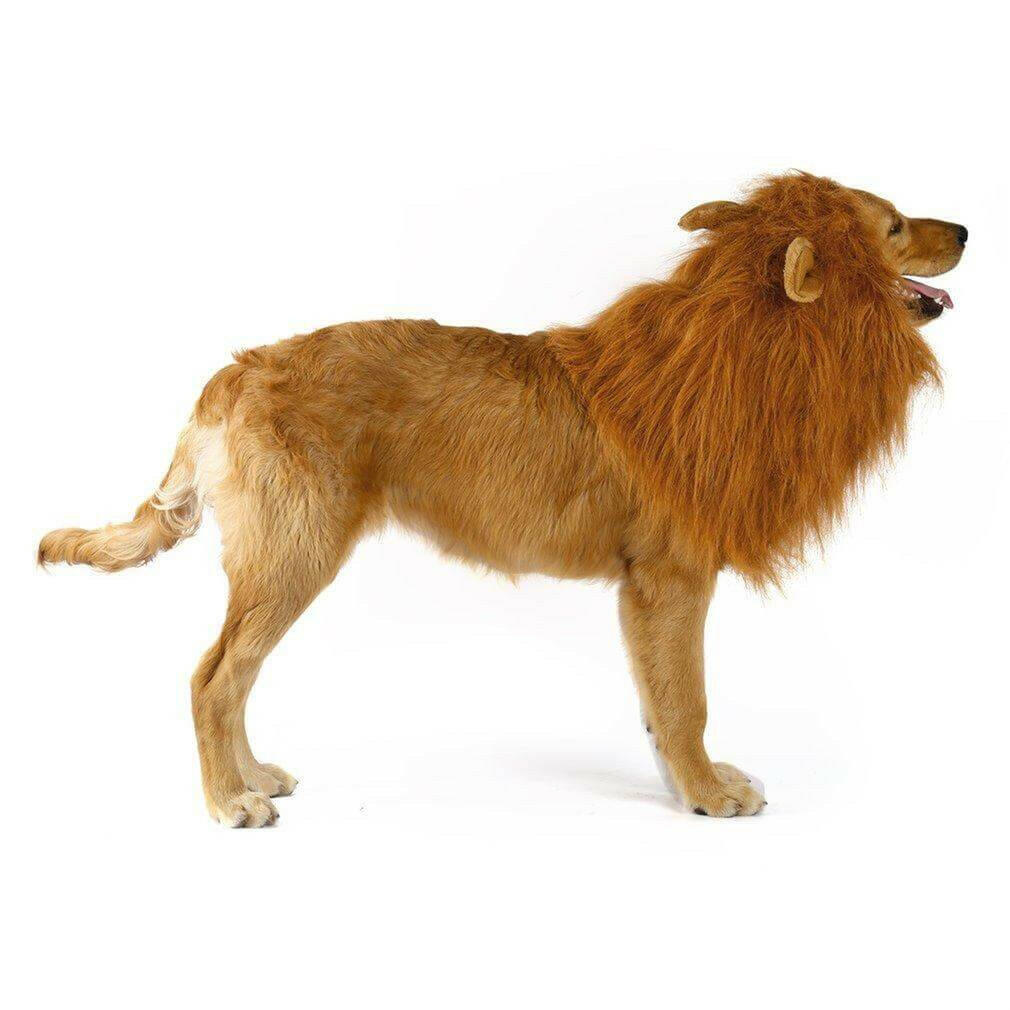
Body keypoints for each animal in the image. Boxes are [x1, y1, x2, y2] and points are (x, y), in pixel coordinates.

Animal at [38, 172, 966, 825]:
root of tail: (236, 371)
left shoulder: (647, 590)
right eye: (892, 226)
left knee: (235, 674)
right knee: (212, 677)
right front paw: (708, 794)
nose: (964, 228)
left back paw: (255, 775)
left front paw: (685, 785)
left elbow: (658, 703)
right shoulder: (672, 579)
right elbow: (688, 700)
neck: (749, 342)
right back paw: (230, 802)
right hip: (295, 553)